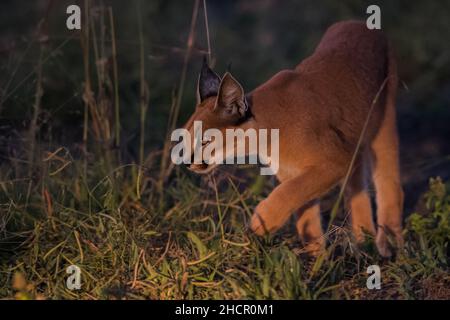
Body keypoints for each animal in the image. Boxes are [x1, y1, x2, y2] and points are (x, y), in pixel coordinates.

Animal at [178, 20, 404, 256]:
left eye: (205, 141)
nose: (187, 162)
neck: (267, 132)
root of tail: (358, 23)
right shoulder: (293, 171)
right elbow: (303, 208)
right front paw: (315, 256)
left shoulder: (335, 161)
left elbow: (288, 193)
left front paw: (261, 222)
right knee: (357, 185)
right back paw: (363, 239)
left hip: (383, 122)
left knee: (389, 181)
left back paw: (389, 241)